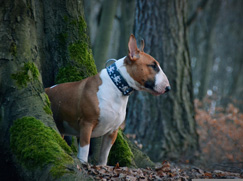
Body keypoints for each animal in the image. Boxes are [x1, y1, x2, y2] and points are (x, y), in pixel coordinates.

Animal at [45, 34, 171, 165]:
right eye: (153, 66)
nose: (168, 88)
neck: (116, 87)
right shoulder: (86, 124)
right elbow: (84, 151)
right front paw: (84, 164)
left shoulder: (112, 132)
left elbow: (104, 156)